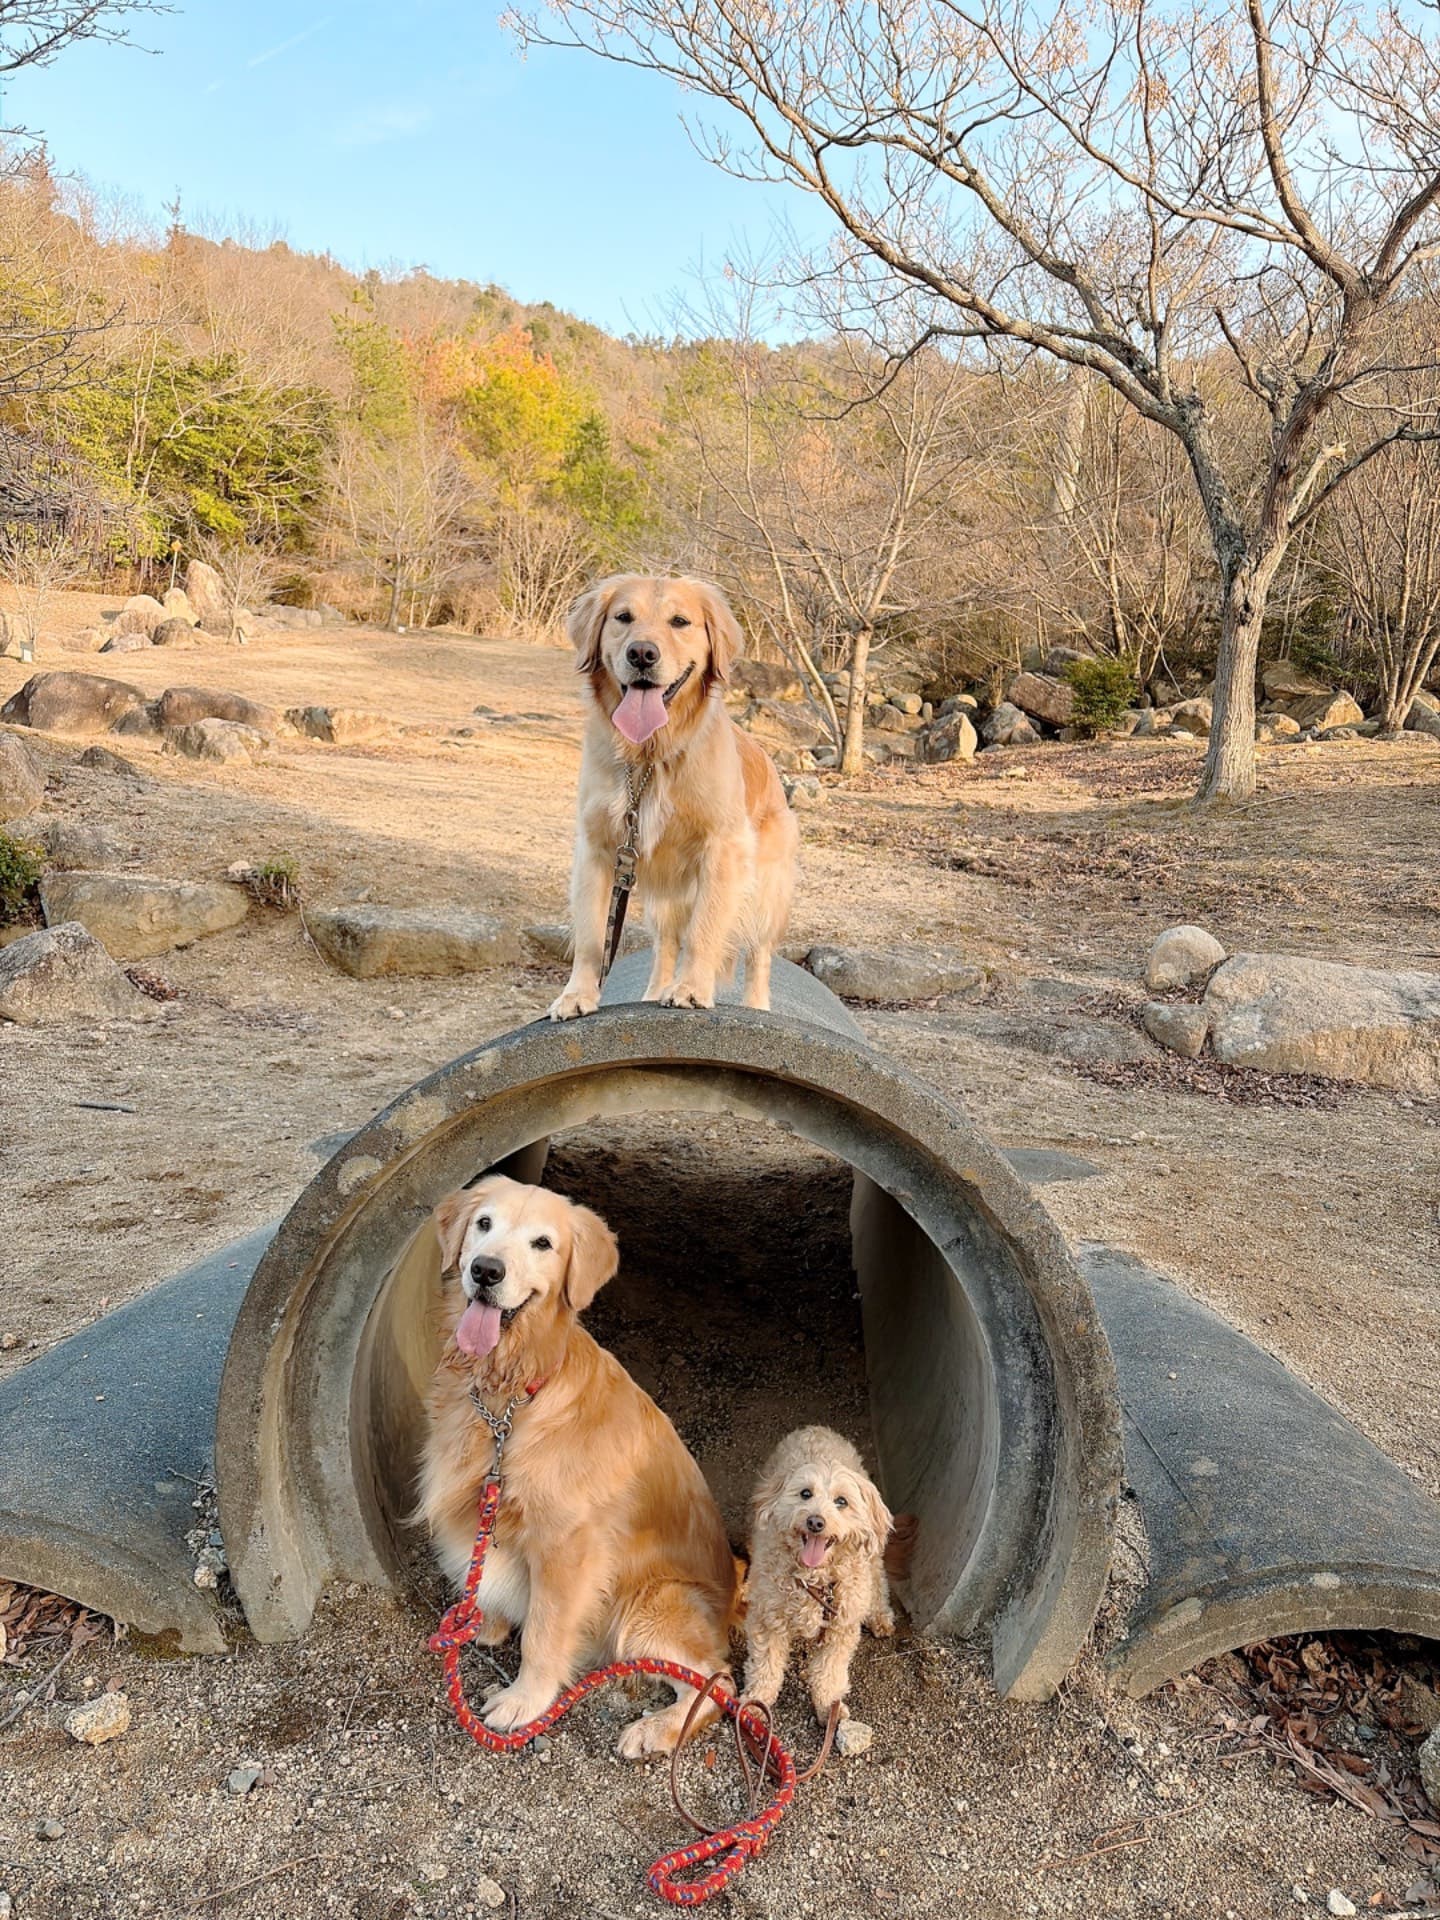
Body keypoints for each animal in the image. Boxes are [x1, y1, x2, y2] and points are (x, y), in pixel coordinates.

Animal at [415, 1174, 737, 1758]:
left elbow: (544, 1632)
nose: (486, 1271)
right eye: (484, 1224)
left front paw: (524, 1699)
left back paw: (653, 1730)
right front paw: (483, 1623)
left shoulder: (568, 1546)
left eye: (543, 1243)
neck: (513, 1394)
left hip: (651, 1607)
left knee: (718, 1682)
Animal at [548, 573, 799, 1020]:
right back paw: (651, 993)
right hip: (662, 897)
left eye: (680, 621)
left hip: (766, 891)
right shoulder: (599, 848)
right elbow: (592, 936)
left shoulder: (722, 849)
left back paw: (756, 1005)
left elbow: (705, 929)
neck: (651, 755)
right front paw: (577, 995)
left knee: (759, 954)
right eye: (623, 617)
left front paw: (692, 988)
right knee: (665, 944)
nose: (642, 653)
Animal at [741, 1426, 894, 1726]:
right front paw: (757, 1701)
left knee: (878, 1579)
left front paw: (829, 1707)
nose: (815, 1521)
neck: (814, 1579)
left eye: (841, 1501)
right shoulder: (768, 1619)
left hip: (871, 1560)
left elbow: (829, 1673)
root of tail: (816, 1429)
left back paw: (880, 1616)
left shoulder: (841, 1627)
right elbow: (765, 1666)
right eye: (805, 1494)